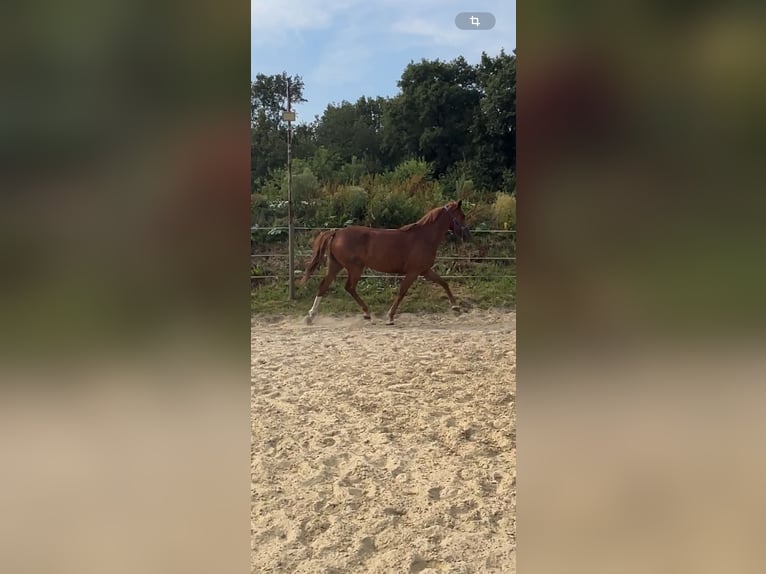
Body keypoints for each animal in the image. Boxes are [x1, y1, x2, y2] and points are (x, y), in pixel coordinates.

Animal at [302, 199, 472, 324]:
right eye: (462, 215)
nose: (467, 235)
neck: (424, 237)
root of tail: (336, 232)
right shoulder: (413, 272)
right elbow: (402, 292)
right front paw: (390, 317)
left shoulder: (425, 271)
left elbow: (444, 283)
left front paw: (456, 308)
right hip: (355, 267)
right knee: (349, 287)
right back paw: (367, 314)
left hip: (336, 265)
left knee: (324, 285)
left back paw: (311, 316)